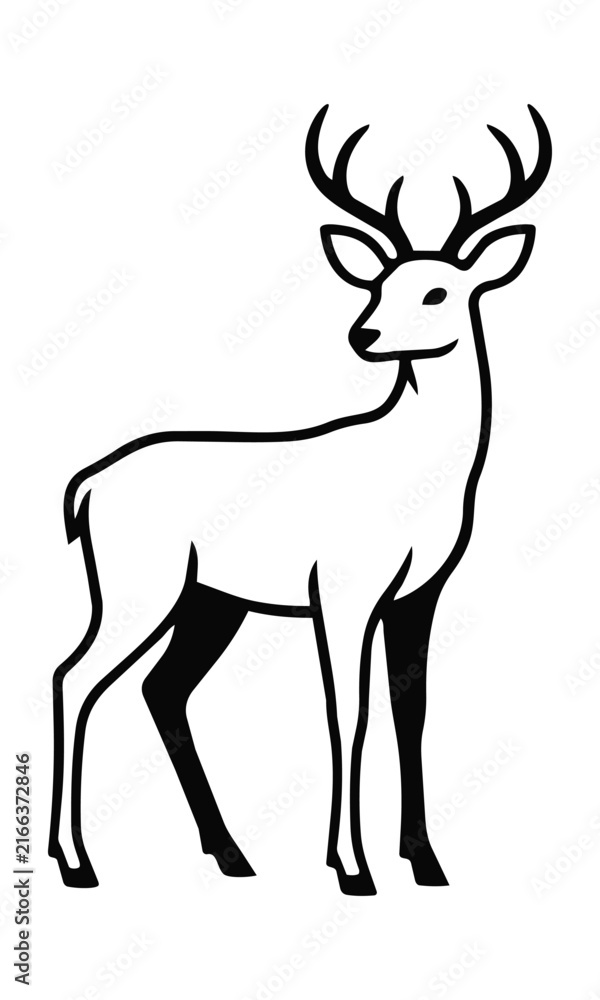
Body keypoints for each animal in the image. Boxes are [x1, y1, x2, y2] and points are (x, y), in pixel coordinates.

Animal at [48, 104, 551, 896]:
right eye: (377, 284)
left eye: (437, 290)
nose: (364, 333)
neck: (415, 475)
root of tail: (87, 486)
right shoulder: (342, 590)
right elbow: (349, 713)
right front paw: (351, 866)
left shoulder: (420, 593)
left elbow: (411, 708)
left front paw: (426, 862)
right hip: (140, 586)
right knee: (74, 677)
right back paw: (77, 863)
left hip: (209, 601)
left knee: (162, 689)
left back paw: (231, 855)